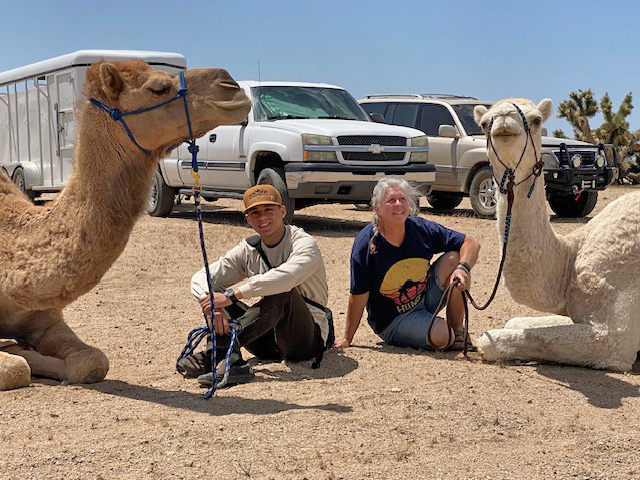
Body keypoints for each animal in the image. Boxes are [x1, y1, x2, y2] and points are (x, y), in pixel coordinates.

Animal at [0, 60, 251, 390]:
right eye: (158, 87)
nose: (230, 85)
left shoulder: (45, 319)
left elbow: (93, 361)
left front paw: (22, 348)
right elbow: (16, 369)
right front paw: (15, 350)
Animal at [473, 98, 640, 371]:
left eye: (536, 119)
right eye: (485, 123)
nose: (505, 122)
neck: (569, 261)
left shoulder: (613, 337)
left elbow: (492, 342)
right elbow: (516, 322)